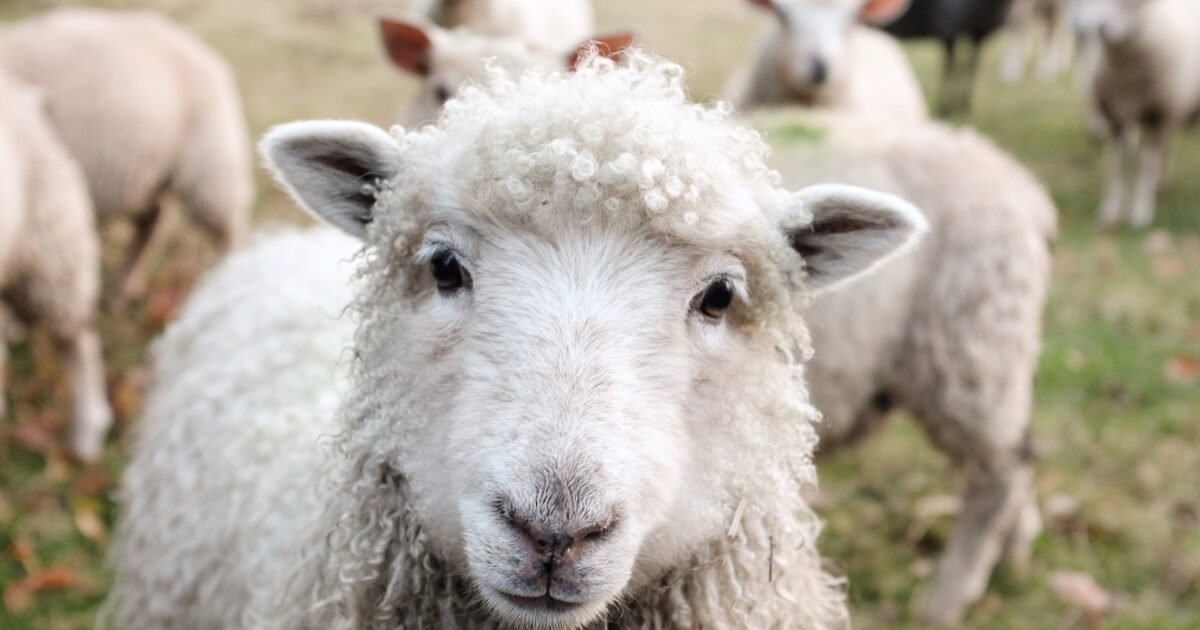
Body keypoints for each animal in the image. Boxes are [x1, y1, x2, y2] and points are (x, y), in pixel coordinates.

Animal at [877, 0, 1018, 114]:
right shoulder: (947, 31)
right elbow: (950, 70)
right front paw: (945, 106)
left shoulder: (979, 35)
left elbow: (971, 68)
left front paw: (964, 105)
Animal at [1070, 0, 1200, 228]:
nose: (1097, 29)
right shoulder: (1115, 117)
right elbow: (1116, 164)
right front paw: (1110, 210)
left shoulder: (1159, 116)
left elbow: (1147, 165)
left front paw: (1141, 212)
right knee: (1167, 148)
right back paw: (1162, 183)